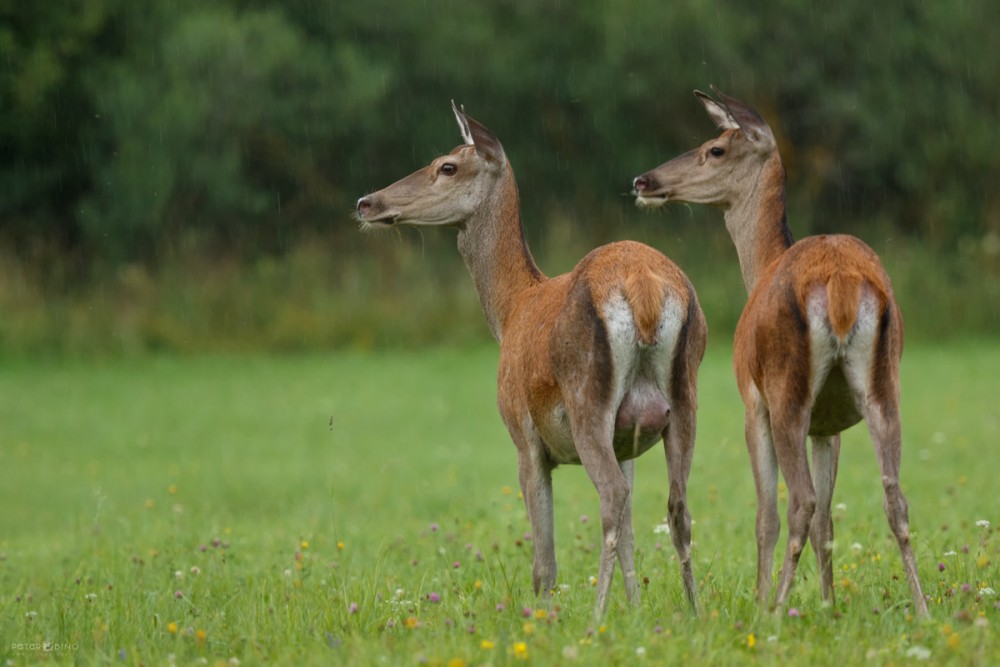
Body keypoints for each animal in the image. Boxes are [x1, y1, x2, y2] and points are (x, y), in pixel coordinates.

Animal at [356, 102, 708, 620]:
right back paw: (695, 613)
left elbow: (545, 564)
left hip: (586, 398)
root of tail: (644, 287)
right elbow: (630, 536)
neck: (511, 310)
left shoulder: (524, 437)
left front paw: (545, 619)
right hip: (683, 397)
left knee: (611, 498)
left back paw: (595, 619)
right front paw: (636, 611)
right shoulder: (628, 438)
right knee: (675, 506)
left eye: (447, 165)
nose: (367, 202)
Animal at [632, 88, 928, 620]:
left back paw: (775, 612)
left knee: (799, 502)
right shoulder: (829, 424)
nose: (644, 181)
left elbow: (766, 514)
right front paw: (829, 605)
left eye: (714, 149)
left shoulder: (753, 402)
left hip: (786, 387)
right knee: (893, 498)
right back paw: (923, 609)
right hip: (882, 383)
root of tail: (841, 284)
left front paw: (760, 598)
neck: (762, 265)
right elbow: (829, 520)